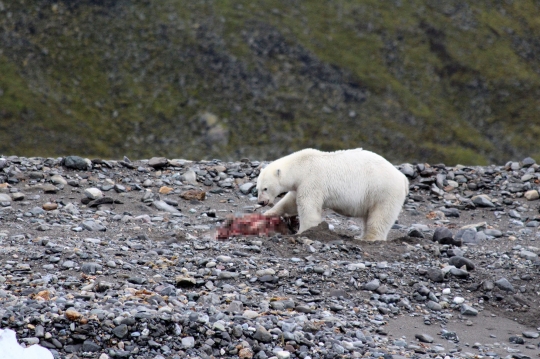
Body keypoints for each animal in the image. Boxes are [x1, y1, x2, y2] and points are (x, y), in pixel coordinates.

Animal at [258, 149, 410, 242]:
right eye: (257, 188)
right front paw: (267, 214)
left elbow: (307, 206)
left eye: (265, 188)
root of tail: (403, 178)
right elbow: (290, 202)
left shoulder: (311, 180)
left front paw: (304, 231)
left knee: (381, 216)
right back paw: (360, 237)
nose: (261, 202)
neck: (301, 166)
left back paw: (369, 238)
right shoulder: (299, 185)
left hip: (383, 191)